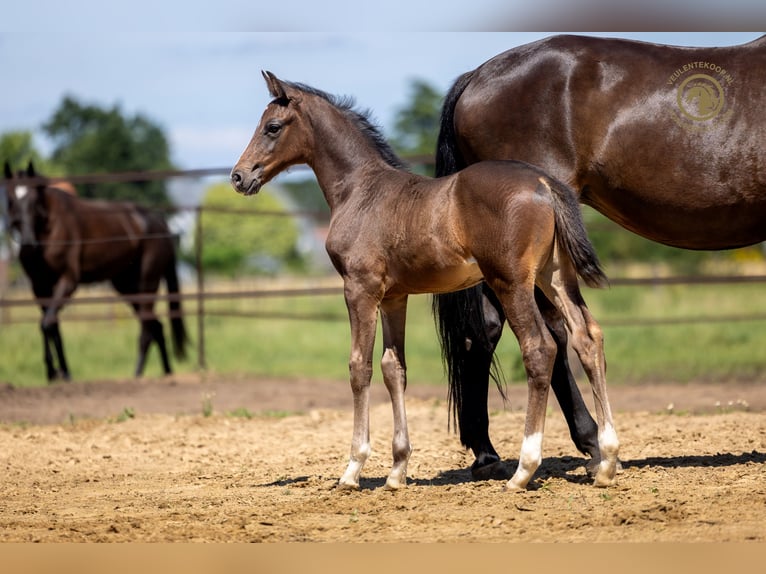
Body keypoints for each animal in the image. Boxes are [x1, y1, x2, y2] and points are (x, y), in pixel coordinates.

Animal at [3, 161, 188, 381]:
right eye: (11, 199)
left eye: (33, 200)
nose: (29, 245)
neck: (51, 229)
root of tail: (161, 224)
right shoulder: (39, 286)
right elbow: (51, 324)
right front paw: (60, 372)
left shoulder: (68, 281)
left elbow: (47, 324)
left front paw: (56, 371)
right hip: (126, 286)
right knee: (155, 326)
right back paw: (167, 373)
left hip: (146, 284)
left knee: (147, 329)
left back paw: (137, 374)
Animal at [230, 71, 619, 491]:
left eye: (272, 127)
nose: (239, 176)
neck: (359, 190)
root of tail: (545, 182)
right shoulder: (393, 297)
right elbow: (393, 368)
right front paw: (397, 470)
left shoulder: (360, 289)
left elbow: (359, 367)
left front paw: (352, 469)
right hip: (556, 277)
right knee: (588, 338)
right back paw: (607, 460)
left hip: (511, 281)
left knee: (540, 348)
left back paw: (524, 469)